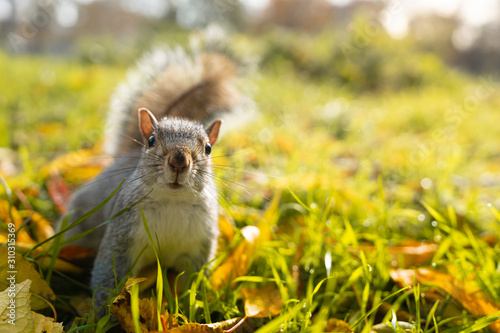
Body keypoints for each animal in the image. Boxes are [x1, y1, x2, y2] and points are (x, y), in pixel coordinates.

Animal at [58, 26, 250, 312]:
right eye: (150, 141)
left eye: (208, 148)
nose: (179, 161)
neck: (172, 201)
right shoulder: (121, 238)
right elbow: (108, 274)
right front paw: (102, 314)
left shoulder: (198, 247)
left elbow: (193, 283)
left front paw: (192, 308)